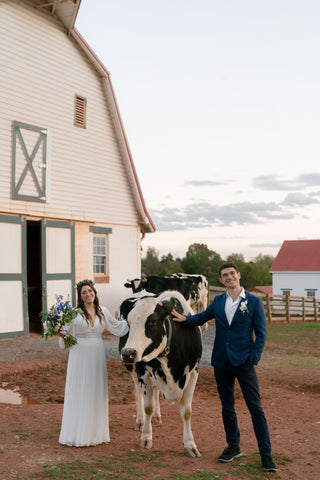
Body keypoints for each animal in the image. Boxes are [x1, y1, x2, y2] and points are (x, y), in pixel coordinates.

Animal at [119, 288, 201, 458]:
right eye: (128, 323)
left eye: (152, 321)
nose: (127, 353)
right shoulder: (143, 373)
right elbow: (148, 406)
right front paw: (146, 437)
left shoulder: (193, 373)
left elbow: (187, 411)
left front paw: (190, 444)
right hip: (135, 372)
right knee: (139, 394)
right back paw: (140, 420)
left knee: (156, 392)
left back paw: (157, 416)